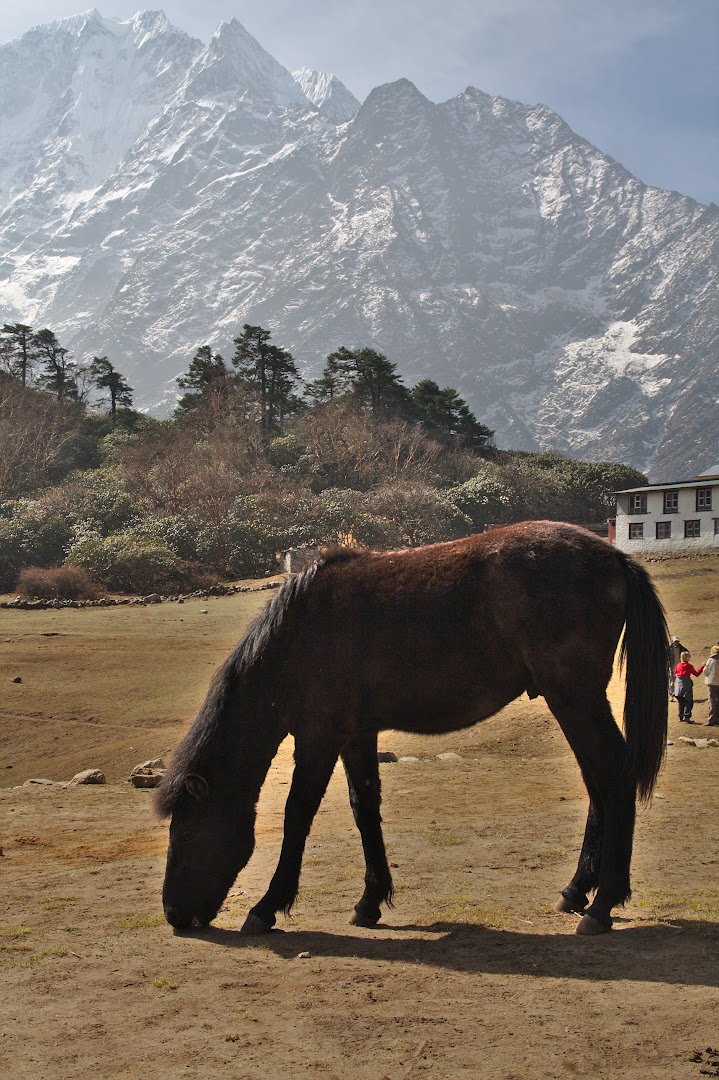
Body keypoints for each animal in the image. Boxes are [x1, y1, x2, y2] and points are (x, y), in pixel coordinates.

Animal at [155, 518, 665, 933]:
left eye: (185, 833)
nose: (174, 915)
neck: (300, 636)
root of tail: (615, 556)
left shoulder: (319, 737)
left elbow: (297, 814)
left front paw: (267, 906)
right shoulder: (356, 736)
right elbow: (364, 809)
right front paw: (370, 901)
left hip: (575, 700)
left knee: (614, 780)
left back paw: (603, 904)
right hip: (574, 704)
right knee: (597, 785)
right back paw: (577, 891)